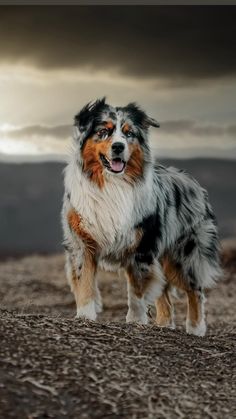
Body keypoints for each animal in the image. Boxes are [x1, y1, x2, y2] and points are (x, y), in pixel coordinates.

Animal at [62, 97, 221, 336]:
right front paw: (85, 316)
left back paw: (195, 329)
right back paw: (164, 325)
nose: (118, 146)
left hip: (182, 255)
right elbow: (85, 282)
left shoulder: (141, 247)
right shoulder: (83, 242)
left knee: (195, 291)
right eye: (103, 131)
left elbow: (137, 291)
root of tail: (195, 184)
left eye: (129, 134)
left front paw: (136, 321)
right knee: (164, 296)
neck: (112, 184)